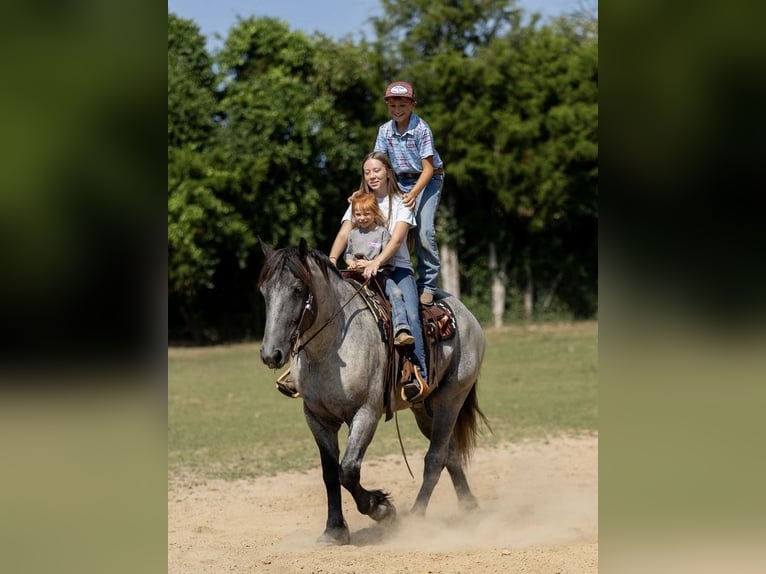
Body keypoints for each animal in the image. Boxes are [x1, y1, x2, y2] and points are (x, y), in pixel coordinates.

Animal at [258, 241, 486, 548]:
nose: (271, 354)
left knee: (435, 458)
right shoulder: (317, 418)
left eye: (297, 289)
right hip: (424, 408)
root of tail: (465, 314)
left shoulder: (366, 414)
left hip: (451, 399)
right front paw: (334, 531)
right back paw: (469, 508)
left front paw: (382, 508)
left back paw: (415, 518)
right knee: (449, 455)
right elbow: (330, 473)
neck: (331, 348)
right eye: (264, 290)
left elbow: (348, 470)